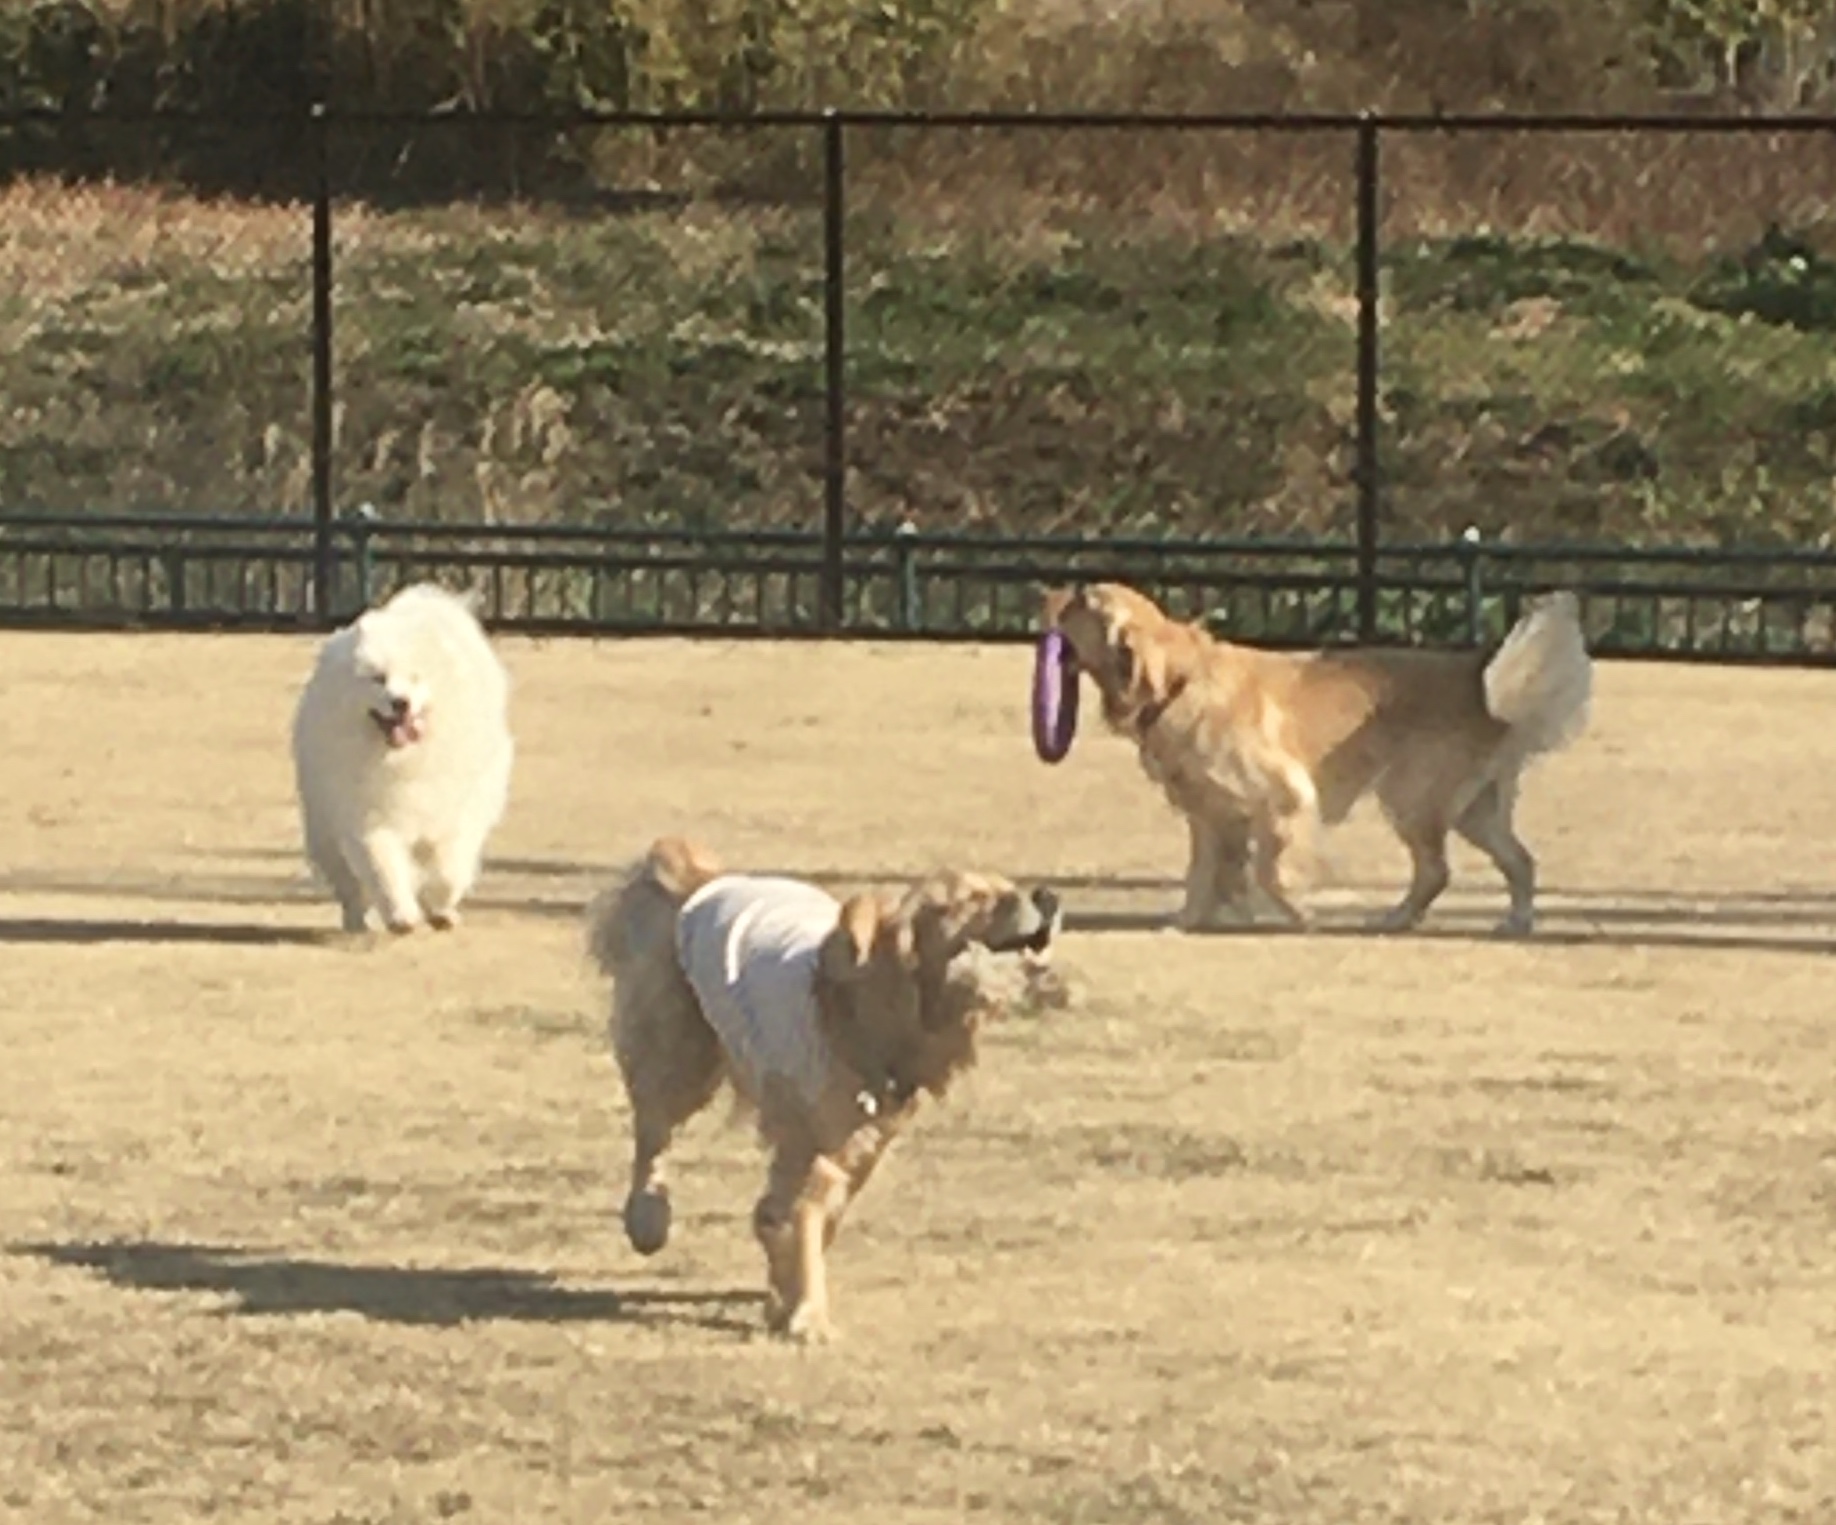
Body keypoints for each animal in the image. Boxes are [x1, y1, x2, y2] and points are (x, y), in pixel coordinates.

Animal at [291, 582, 514, 934]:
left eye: (415, 677)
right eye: (377, 678)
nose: (400, 702)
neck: (403, 762)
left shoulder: (455, 814)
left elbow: (449, 871)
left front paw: (440, 910)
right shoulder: (368, 817)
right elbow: (382, 867)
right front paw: (401, 916)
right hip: (324, 825)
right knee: (349, 887)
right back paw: (357, 922)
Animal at [584, 837, 1061, 1342]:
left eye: (1009, 887)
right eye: (973, 898)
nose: (1048, 896)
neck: (878, 1014)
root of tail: (705, 878)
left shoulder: (868, 1135)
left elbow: (809, 1213)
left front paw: (784, 1295)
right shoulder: (809, 1133)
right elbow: (801, 1214)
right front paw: (808, 1312)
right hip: (682, 1053)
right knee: (652, 1129)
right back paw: (647, 1217)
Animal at [1043, 581, 1592, 935]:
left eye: (1082, 600)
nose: (1045, 594)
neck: (1179, 683)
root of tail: (1480, 685)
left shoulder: (1282, 797)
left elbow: (1269, 869)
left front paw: (1300, 913)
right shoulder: (1209, 814)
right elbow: (1203, 873)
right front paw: (1188, 920)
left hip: (1411, 798)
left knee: (1436, 870)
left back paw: (1398, 918)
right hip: (1473, 811)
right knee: (1519, 861)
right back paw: (1515, 920)